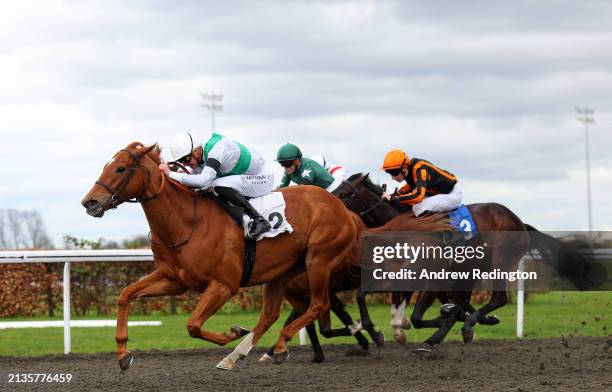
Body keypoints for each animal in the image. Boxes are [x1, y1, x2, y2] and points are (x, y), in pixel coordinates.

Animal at [83, 142, 366, 370]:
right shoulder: (173, 280)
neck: (187, 223)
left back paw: (281, 345)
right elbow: (125, 295)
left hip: (318, 260)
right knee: (270, 315)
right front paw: (123, 354)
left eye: (120, 168)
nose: (90, 202)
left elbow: (193, 325)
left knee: (318, 305)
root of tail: (342, 208)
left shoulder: (224, 284)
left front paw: (233, 331)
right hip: (282, 272)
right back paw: (236, 356)